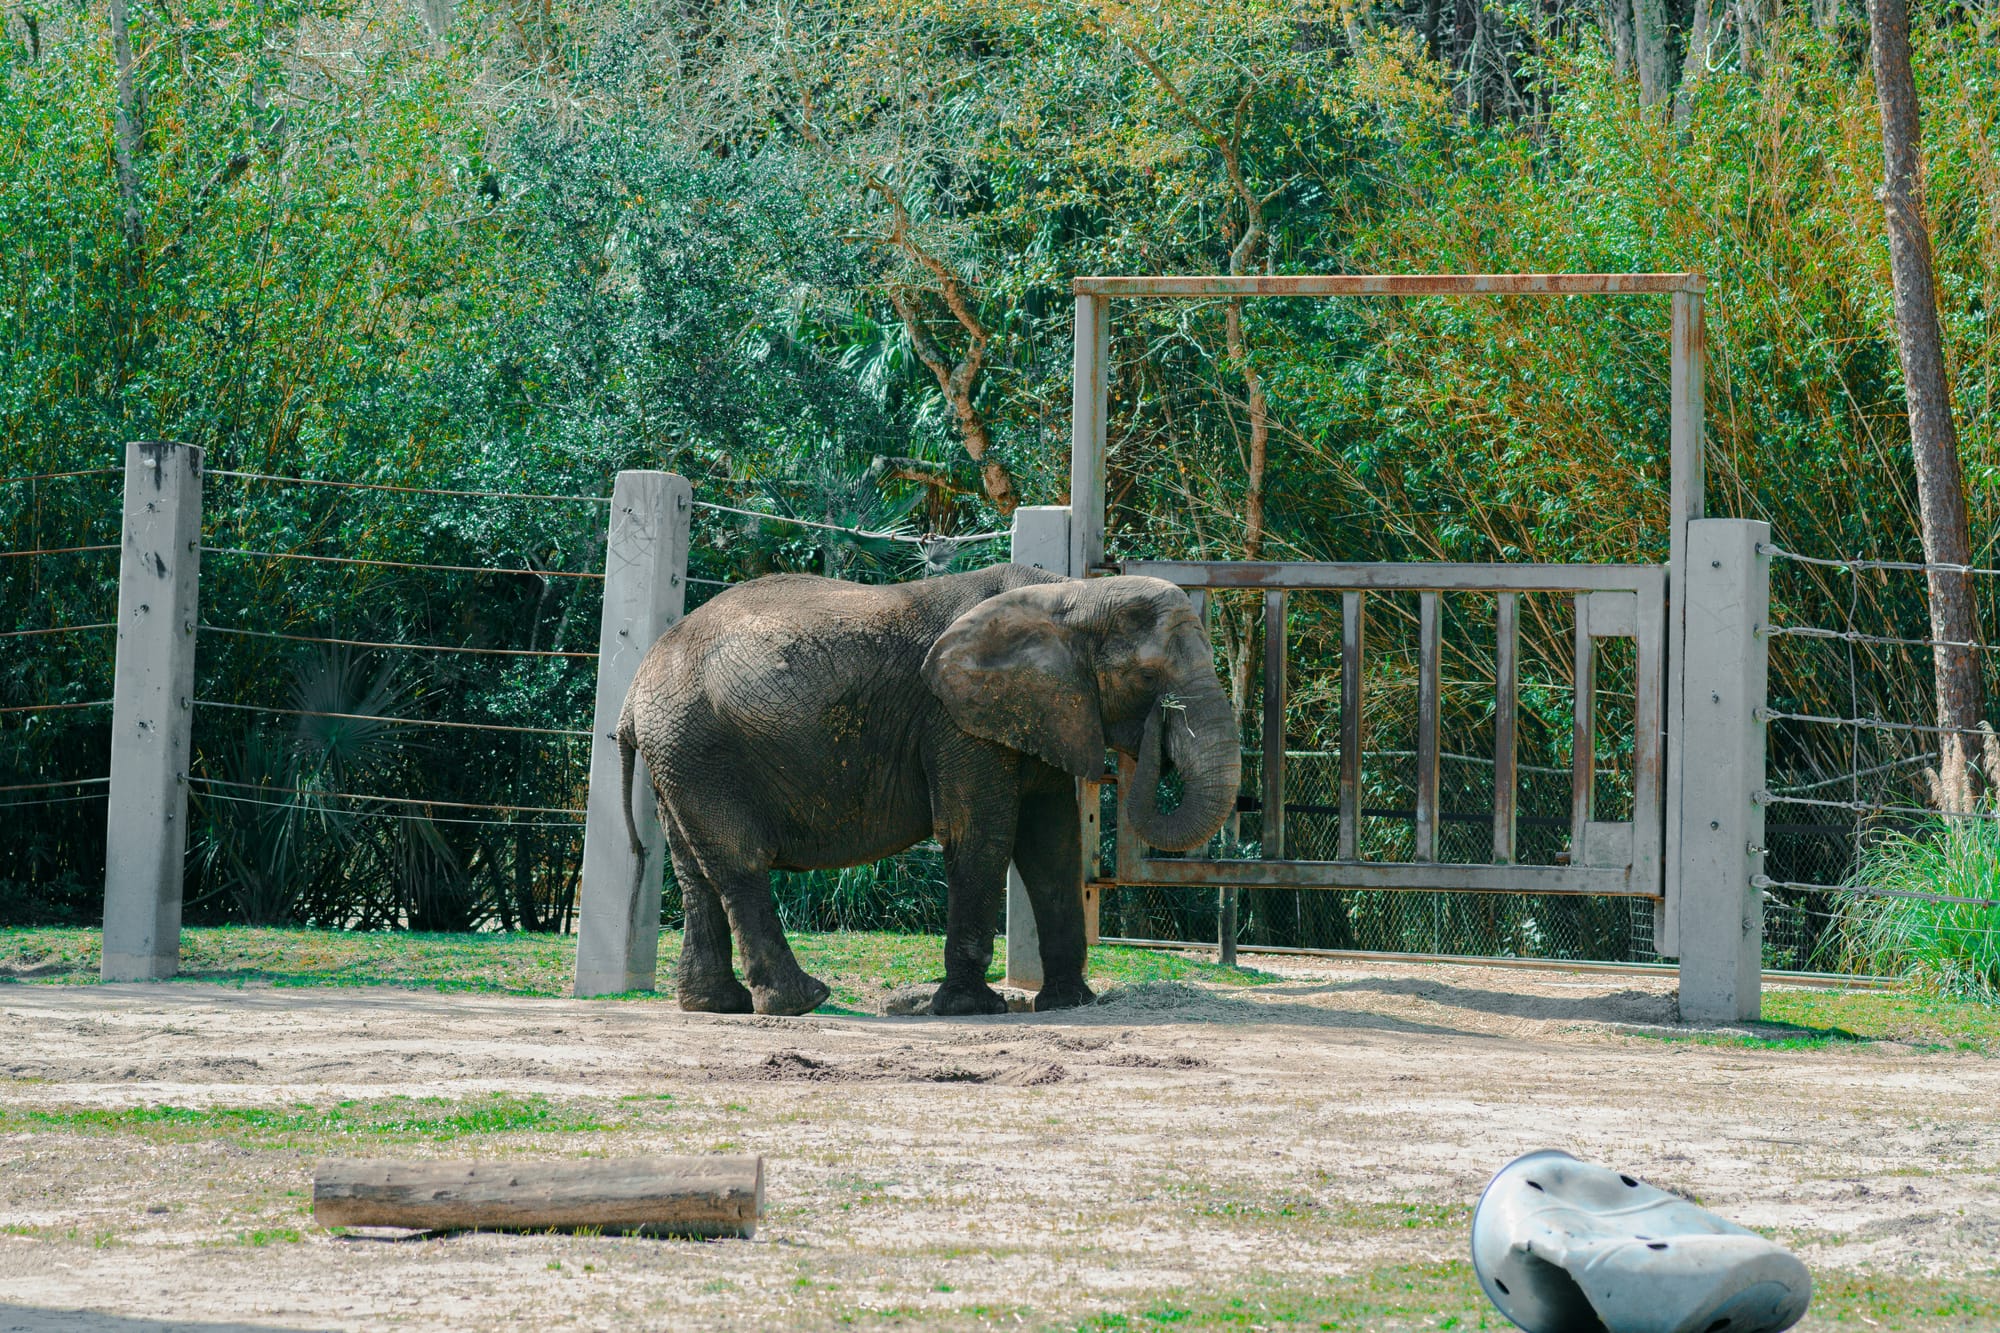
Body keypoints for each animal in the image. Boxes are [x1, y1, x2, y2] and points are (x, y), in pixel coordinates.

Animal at [616, 564, 1240, 1016]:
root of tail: (634, 690)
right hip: (698, 747)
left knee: (695, 872)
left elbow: (1052, 843)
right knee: (739, 863)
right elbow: (981, 834)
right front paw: (971, 1009)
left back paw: (716, 1006)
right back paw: (801, 1002)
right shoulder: (956, 720)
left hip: (678, 757)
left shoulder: (1041, 710)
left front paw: (1069, 1003)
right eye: (1147, 678)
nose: (1157, 733)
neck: (1072, 595)